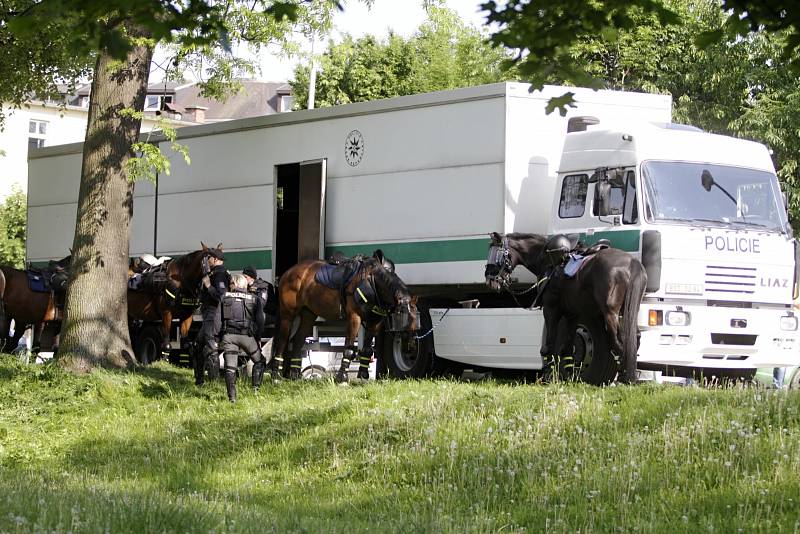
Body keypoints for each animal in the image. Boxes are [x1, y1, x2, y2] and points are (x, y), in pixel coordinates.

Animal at [274, 250, 418, 382]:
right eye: (403, 319)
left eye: (417, 319)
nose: (411, 347)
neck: (373, 281)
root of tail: (288, 273)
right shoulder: (354, 317)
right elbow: (348, 348)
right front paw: (342, 377)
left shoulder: (375, 321)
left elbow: (367, 349)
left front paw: (363, 376)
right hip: (288, 314)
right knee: (282, 341)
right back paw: (276, 376)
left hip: (308, 314)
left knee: (297, 340)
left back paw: (294, 375)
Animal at [484, 232, 648, 384]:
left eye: (497, 253)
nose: (489, 281)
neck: (550, 263)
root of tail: (632, 262)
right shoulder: (572, 314)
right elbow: (568, 347)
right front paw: (570, 376)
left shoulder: (550, 310)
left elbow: (549, 345)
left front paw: (549, 375)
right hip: (626, 312)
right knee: (635, 338)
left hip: (610, 314)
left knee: (620, 342)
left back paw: (624, 378)